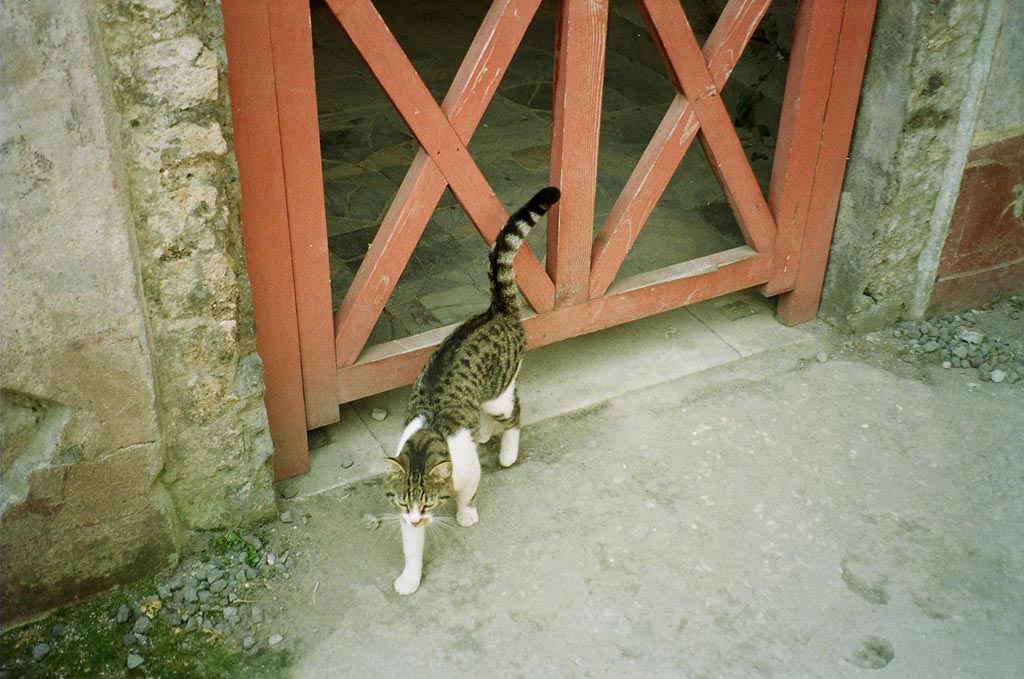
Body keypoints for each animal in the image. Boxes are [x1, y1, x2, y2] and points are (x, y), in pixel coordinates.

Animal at [385, 186, 561, 593]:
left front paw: (466, 514)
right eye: (403, 504)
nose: (417, 518)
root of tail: (497, 313)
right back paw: (482, 432)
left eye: (428, 503)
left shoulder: (469, 471)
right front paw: (410, 577)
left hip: (499, 395)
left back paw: (508, 451)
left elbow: (468, 493)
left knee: (515, 413)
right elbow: (411, 547)